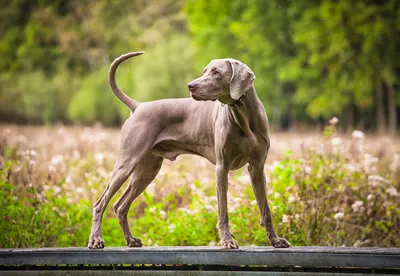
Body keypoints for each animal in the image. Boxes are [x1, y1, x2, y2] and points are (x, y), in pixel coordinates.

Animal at [87, 51, 290, 250]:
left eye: (216, 72)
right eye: (204, 71)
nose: (190, 86)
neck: (243, 115)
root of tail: (139, 106)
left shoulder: (257, 167)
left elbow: (266, 209)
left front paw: (276, 240)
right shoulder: (222, 167)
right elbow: (223, 210)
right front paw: (227, 241)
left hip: (147, 170)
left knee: (120, 206)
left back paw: (131, 240)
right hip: (127, 162)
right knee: (100, 204)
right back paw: (96, 240)